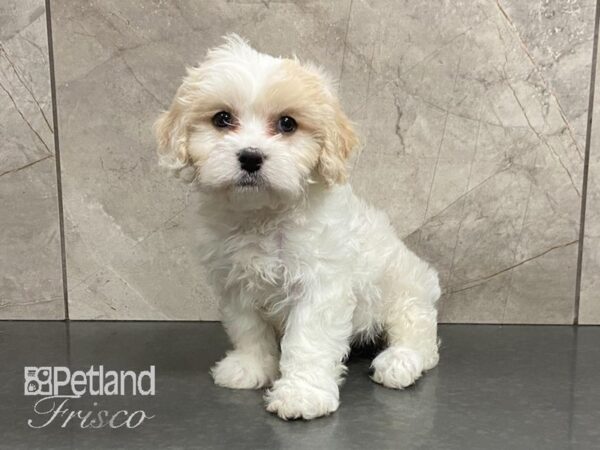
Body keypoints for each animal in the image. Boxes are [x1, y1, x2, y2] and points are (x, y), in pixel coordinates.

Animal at [155, 36, 440, 422]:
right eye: (222, 119)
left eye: (287, 124)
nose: (250, 156)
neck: (262, 215)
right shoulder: (235, 282)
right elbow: (248, 328)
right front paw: (251, 367)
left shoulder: (320, 285)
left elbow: (308, 341)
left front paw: (302, 395)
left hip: (404, 290)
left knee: (419, 333)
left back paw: (399, 361)